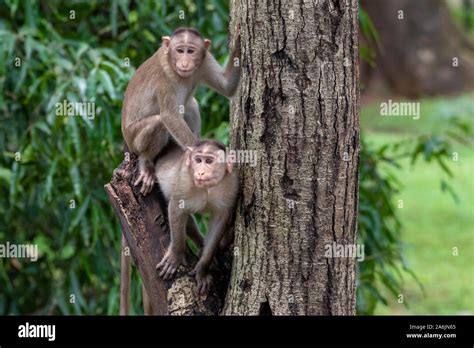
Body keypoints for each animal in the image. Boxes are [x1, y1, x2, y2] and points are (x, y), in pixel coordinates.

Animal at [122, 27, 241, 196]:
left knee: (191, 104)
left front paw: (238, 45)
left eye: (190, 51)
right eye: (179, 50)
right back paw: (146, 162)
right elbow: (169, 116)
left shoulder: (205, 60)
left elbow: (226, 86)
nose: (185, 62)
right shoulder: (166, 77)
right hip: (134, 140)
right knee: (159, 122)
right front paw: (197, 155)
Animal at [155, 139, 237, 294]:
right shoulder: (184, 180)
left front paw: (203, 268)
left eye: (209, 161)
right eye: (198, 160)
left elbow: (220, 221)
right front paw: (176, 254)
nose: (200, 172)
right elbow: (176, 208)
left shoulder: (231, 185)